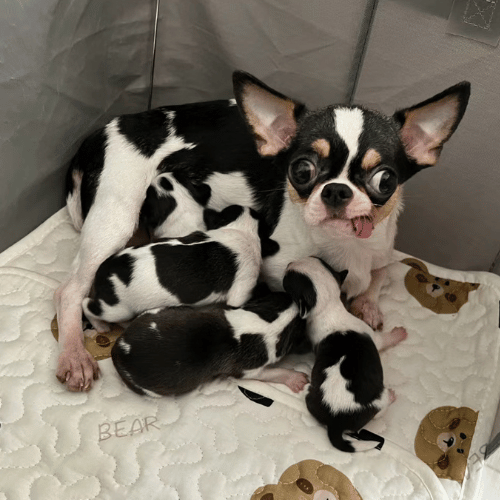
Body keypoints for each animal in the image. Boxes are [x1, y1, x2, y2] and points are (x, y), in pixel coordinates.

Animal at [81, 206, 262, 332]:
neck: (241, 229)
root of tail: (102, 271)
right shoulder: (242, 289)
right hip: (116, 308)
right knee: (87, 305)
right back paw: (101, 326)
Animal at [111, 288, 310, 396]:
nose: (295, 296)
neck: (264, 322)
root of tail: (117, 349)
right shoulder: (247, 370)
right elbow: (272, 372)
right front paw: (294, 377)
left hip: (153, 313)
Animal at [282, 258, 406, 454]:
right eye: (287, 278)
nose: (289, 263)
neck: (328, 308)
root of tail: (336, 423)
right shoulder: (374, 337)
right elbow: (385, 339)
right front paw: (399, 333)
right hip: (379, 401)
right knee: (380, 412)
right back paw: (392, 396)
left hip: (310, 397)